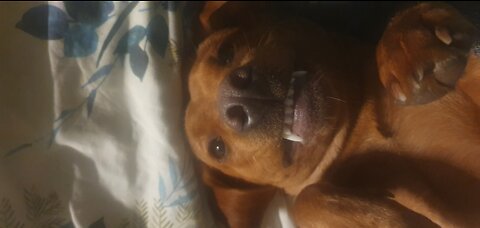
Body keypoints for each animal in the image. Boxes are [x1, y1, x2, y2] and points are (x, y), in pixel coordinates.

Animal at [185, 2, 480, 227]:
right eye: (217, 148)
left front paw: (406, 44)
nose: (236, 101)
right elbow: (306, 200)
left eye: (225, 52)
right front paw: (388, 219)